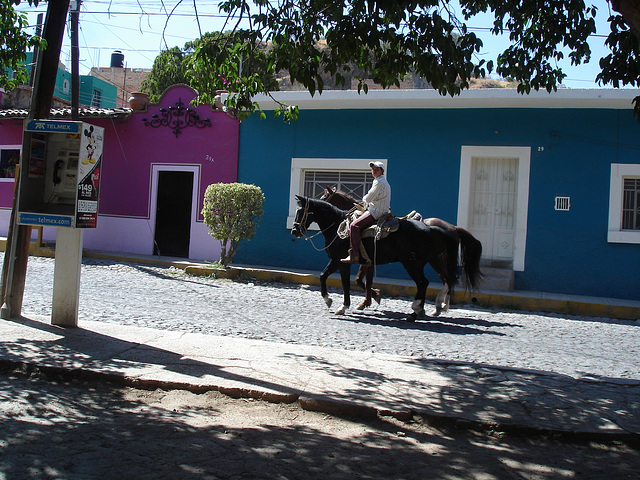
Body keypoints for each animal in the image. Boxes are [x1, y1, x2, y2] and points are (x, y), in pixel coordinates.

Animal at [292, 195, 462, 322]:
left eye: (301, 211)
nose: (294, 231)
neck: (336, 227)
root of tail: (433, 228)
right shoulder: (336, 261)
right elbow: (323, 276)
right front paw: (328, 300)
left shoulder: (344, 263)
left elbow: (346, 284)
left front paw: (344, 306)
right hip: (429, 262)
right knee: (438, 281)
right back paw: (426, 310)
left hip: (413, 264)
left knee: (424, 283)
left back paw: (418, 311)